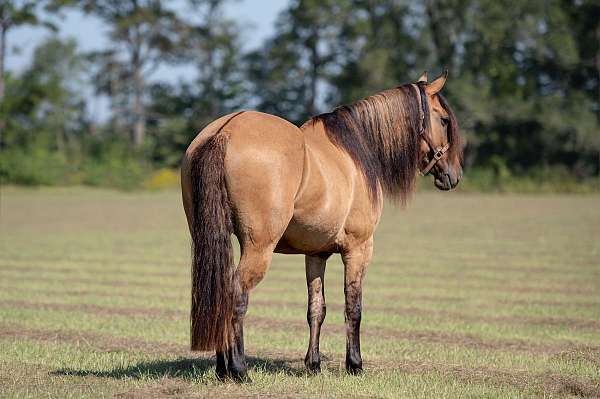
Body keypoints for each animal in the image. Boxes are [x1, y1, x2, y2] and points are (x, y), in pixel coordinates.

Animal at [180, 71, 462, 382]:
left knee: (218, 293)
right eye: (444, 120)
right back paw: (239, 369)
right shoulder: (359, 249)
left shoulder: (315, 254)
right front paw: (355, 364)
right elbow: (354, 307)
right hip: (258, 248)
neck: (355, 152)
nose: (454, 175)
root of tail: (225, 131)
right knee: (236, 295)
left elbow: (316, 308)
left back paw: (222, 368)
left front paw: (313, 364)